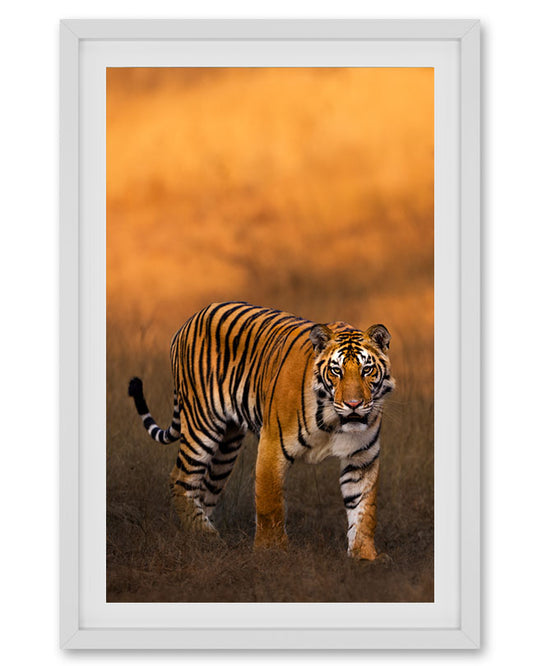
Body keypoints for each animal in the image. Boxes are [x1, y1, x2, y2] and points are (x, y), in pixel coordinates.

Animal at [128, 301, 395, 559]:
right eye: (336, 371)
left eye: (367, 370)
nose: (353, 404)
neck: (335, 420)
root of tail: (189, 320)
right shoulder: (272, 444)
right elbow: (269, 502)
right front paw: (272, 552)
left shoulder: (362, 457)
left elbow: (364, 509)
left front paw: (364, 556)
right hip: (201, 424)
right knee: (181, 479)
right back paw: (205, 536)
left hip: (227, 446)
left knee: (205, 490)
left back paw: (203, 538)